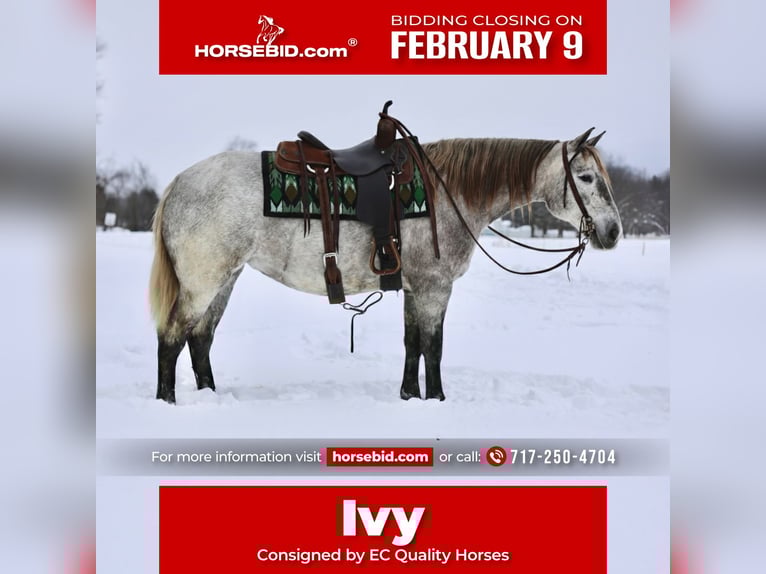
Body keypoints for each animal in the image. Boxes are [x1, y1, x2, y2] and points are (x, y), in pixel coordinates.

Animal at [149, 128, 622, 404]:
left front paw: (409, 396)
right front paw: (437, 401)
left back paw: (211, 399)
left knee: (201, 340)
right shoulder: (435, 288)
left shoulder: (415, 289)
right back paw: (167, 402)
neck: (446, 193)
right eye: (585, 177)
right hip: (202, 282)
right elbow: (433, 347)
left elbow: (412, 345)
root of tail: (179, 182)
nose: (613, 231)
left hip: (224, 279)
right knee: (172, 338)